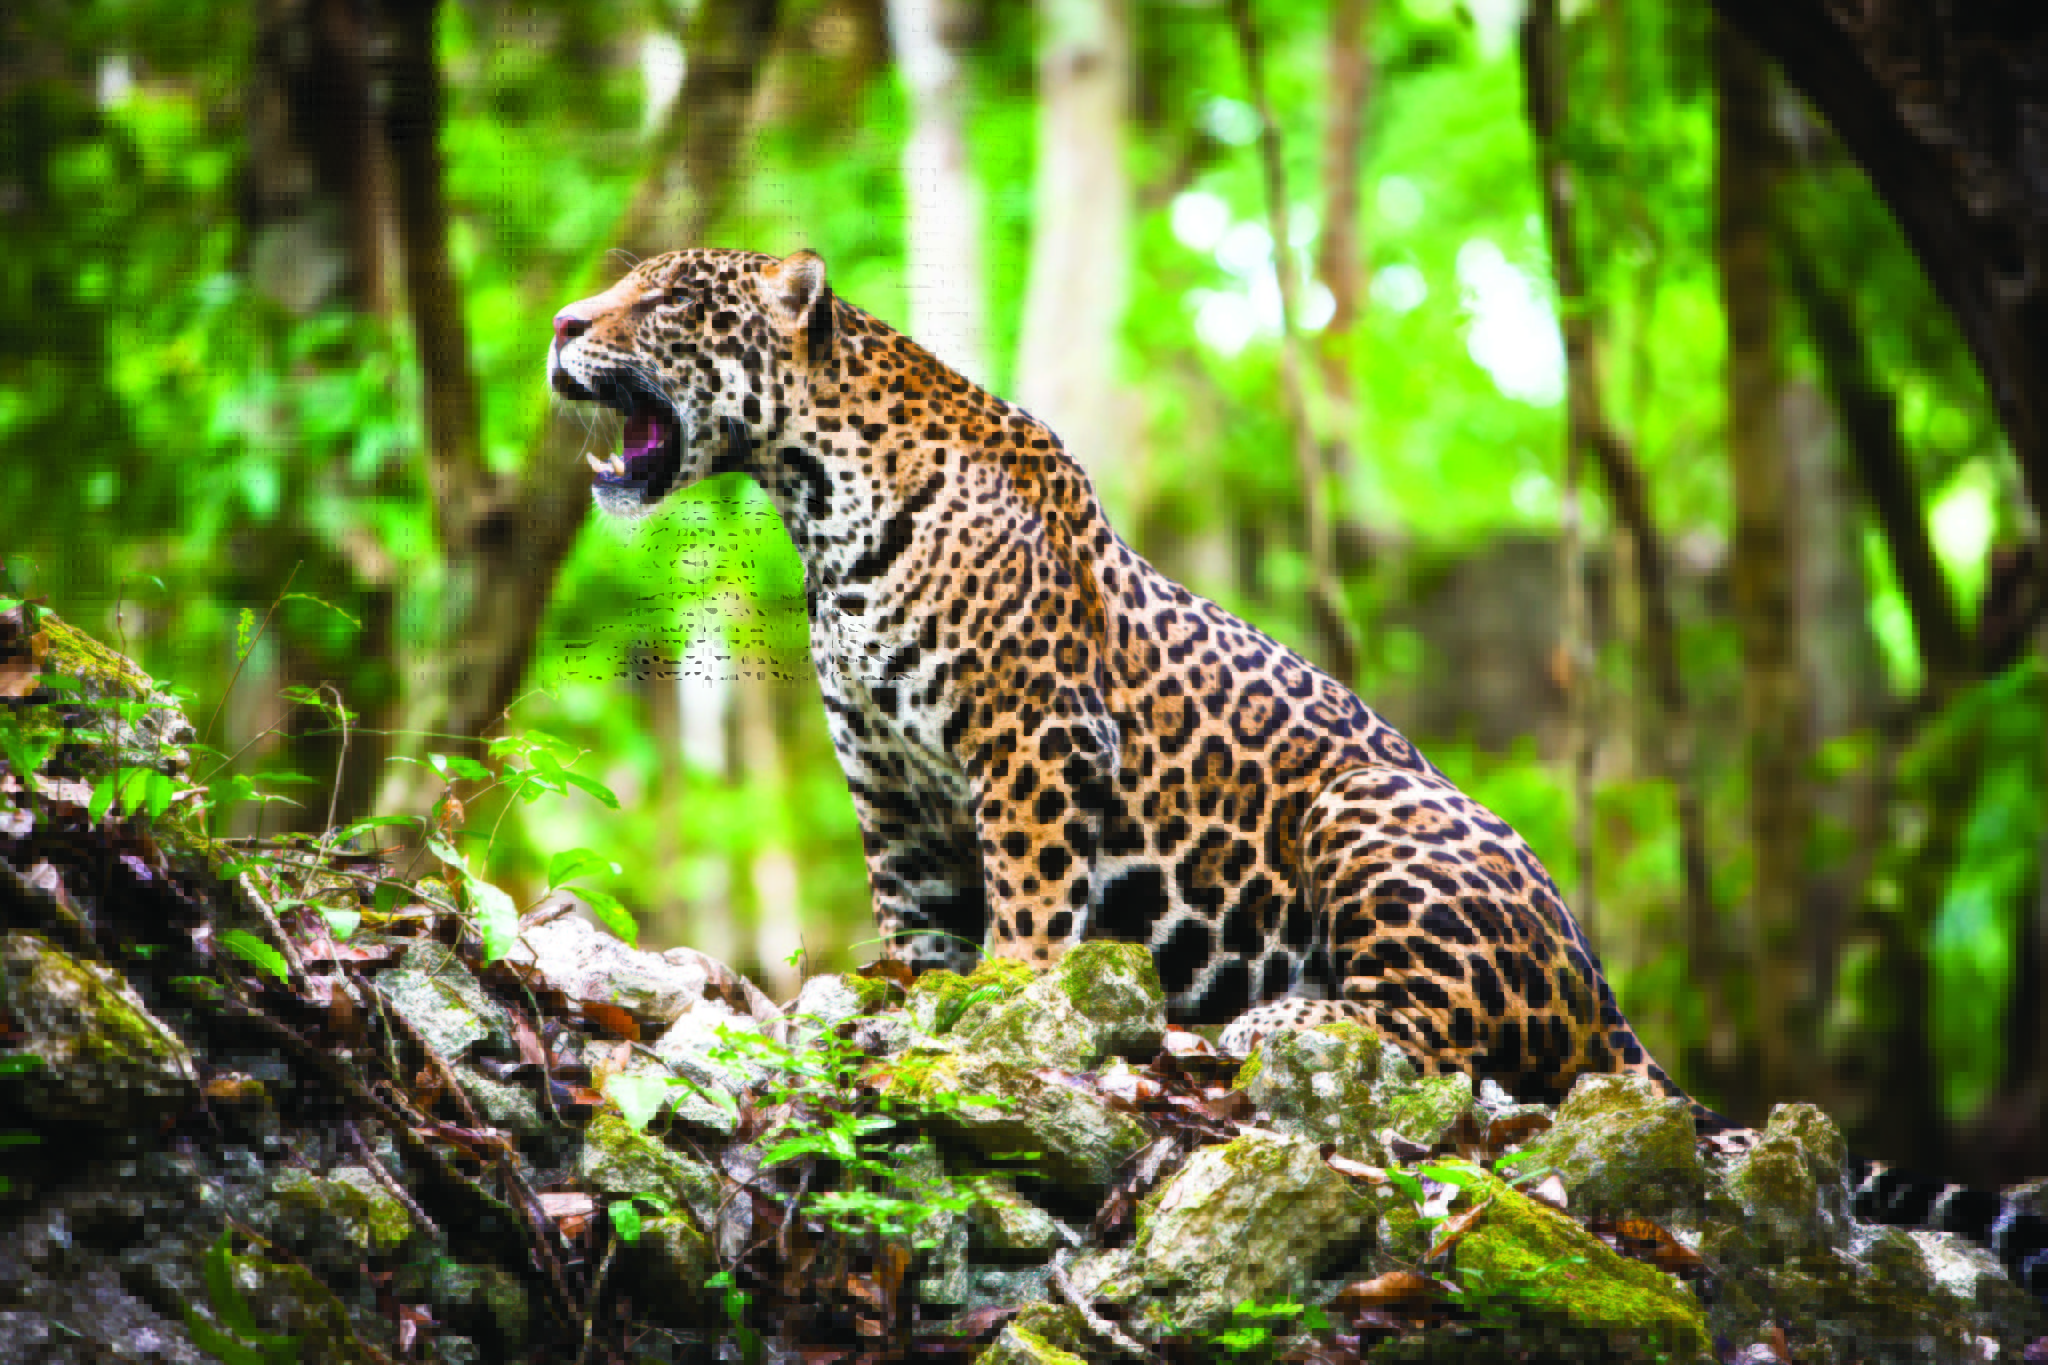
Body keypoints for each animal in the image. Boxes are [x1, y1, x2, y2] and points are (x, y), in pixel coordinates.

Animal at [549, 247, 2044, 1297]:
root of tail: (1608, 994)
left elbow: (1027, 910)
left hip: (1368, 817)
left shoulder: (1028, 741)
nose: (565, 325)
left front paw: (1004, 1007)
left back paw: (1265, 1024)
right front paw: (906, 1002)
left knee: (1449, 1049)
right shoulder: (893, 787)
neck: (815, 501)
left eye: (666, 296)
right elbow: (916, 926)